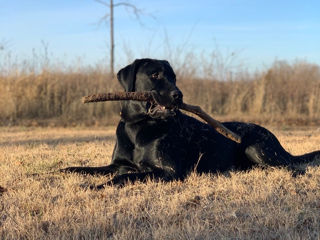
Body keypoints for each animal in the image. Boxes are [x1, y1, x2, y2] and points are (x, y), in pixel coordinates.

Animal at [62, 59, 320, 187]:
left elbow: (124, 177)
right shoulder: (116, 164)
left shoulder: (167, 171)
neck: (139, 126)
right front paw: (66, 171)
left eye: (174, 77)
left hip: (256, 148)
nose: (179, 95)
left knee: (293, 168)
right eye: (155, 74)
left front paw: (93, 186)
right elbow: (89, 169)